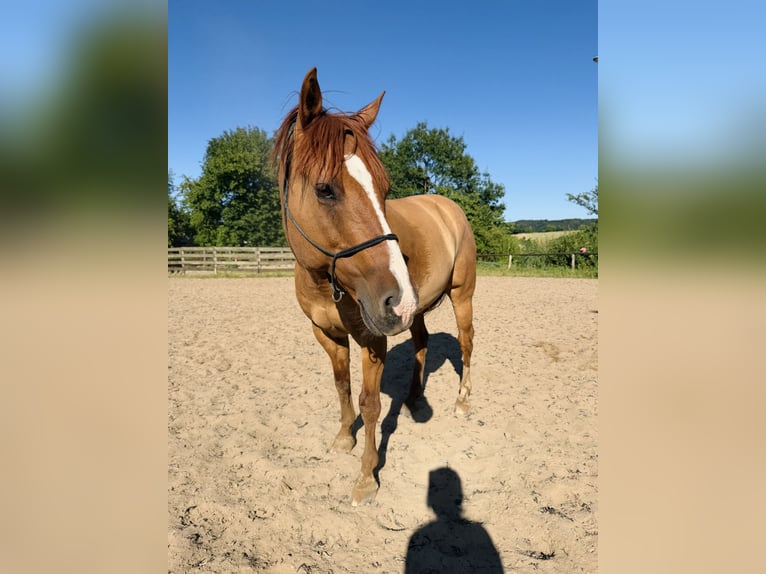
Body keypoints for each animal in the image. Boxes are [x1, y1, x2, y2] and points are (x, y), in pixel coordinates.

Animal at [273, 68, 476, 505]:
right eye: (325, 189)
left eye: (384, 190)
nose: (396, 299)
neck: (327, 282)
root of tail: (448, 205)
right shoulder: (326, 333)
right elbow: (341, 386)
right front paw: (342, 438)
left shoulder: (372, 339)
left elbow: (370, 405)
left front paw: (366, 478)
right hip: (417, 310)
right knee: (422, 342)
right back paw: (415, 399)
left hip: (460, 296)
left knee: (467, 344)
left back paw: (463, 401)